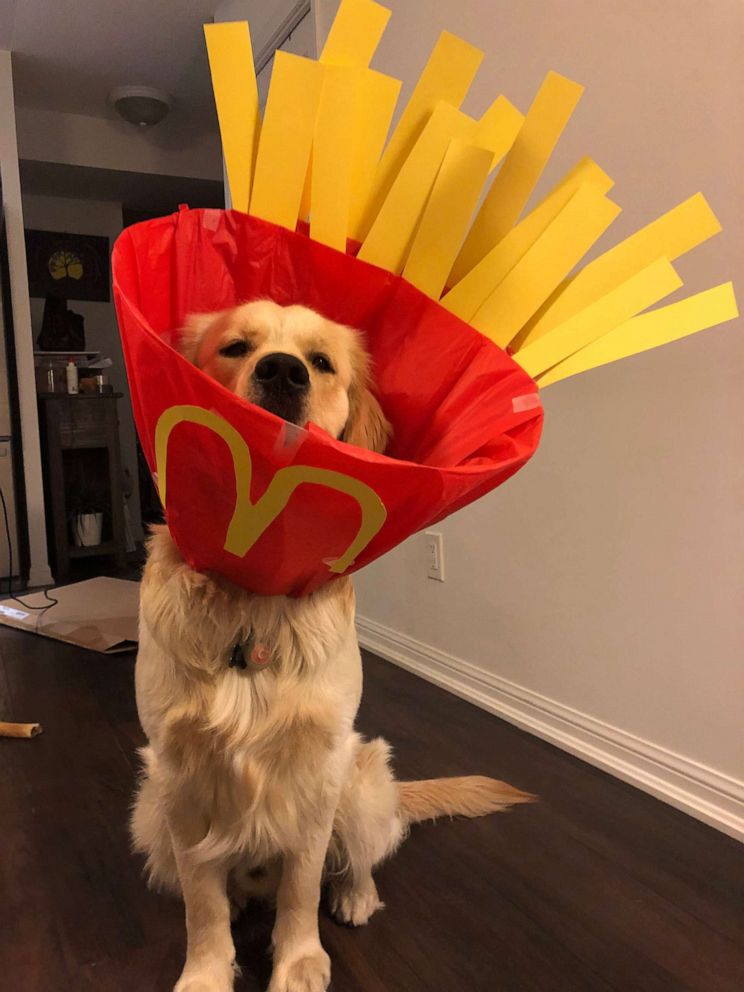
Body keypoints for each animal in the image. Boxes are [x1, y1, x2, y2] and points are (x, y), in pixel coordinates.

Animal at [131, 298, 532, 988]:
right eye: (235, 347)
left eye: (320, 362)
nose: (283, 372)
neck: (255, 607)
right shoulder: (178, 776)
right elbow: (202, 900)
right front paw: (207, 971)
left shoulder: (318, 769)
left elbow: (301, 883)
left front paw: (297, 962)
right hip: (147, 808)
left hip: (361, 772)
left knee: (360, 857)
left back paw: (355, 896)